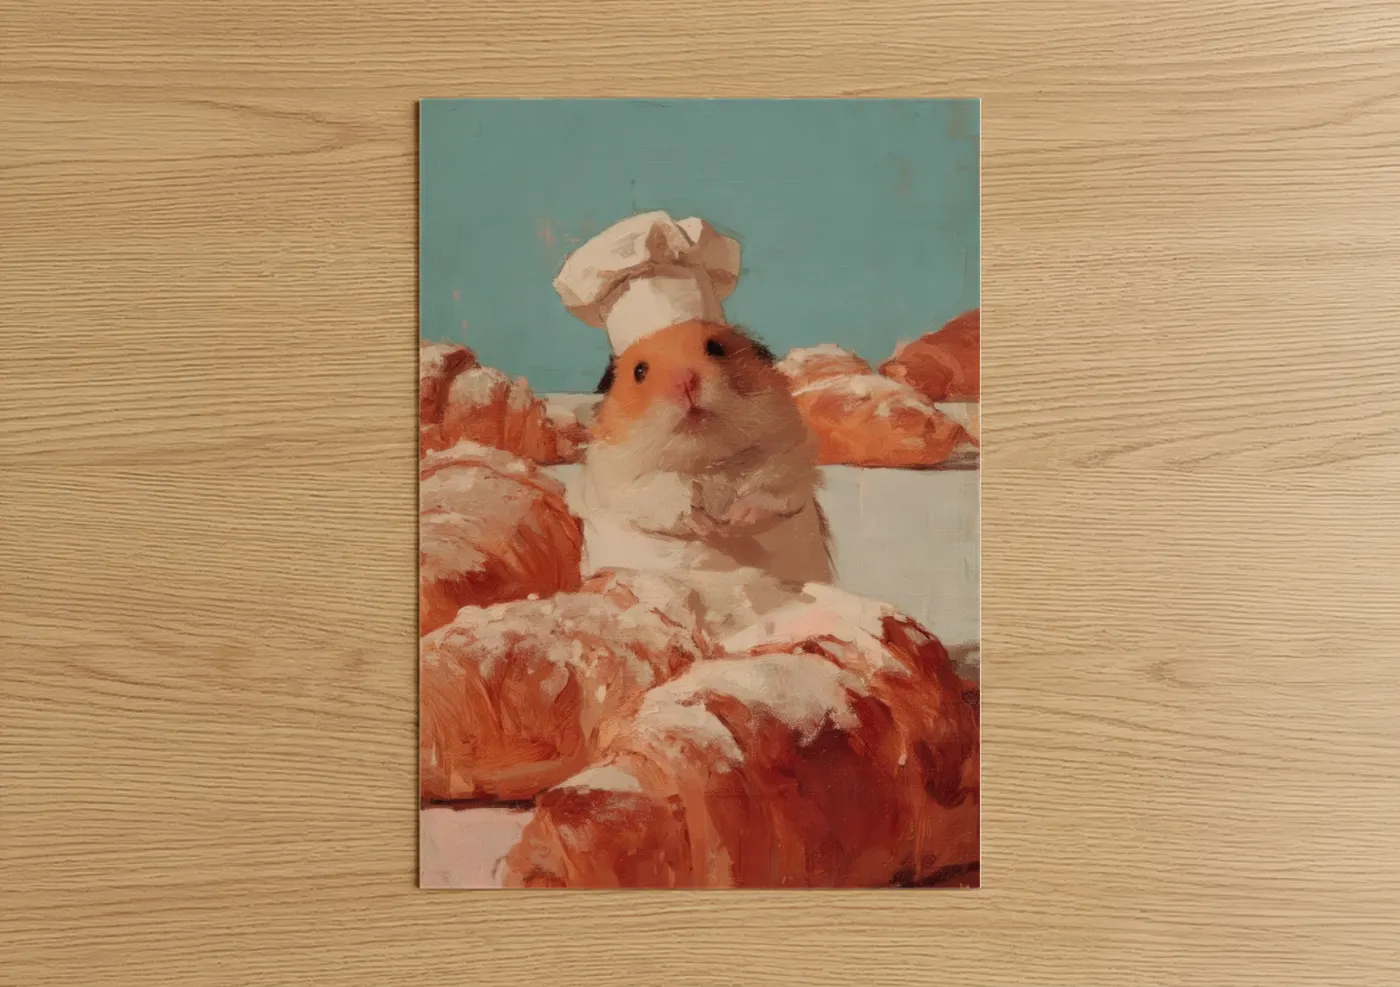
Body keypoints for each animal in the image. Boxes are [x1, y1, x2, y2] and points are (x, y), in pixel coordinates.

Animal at [577, 320, 834, 586]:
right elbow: (667, 497)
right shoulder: (627, 484)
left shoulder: (790, 464)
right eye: (639, 371)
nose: (685, 381)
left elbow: (769, 493)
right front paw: (708, 526)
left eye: (716, 348)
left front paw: (733, 520)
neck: (707, 460)